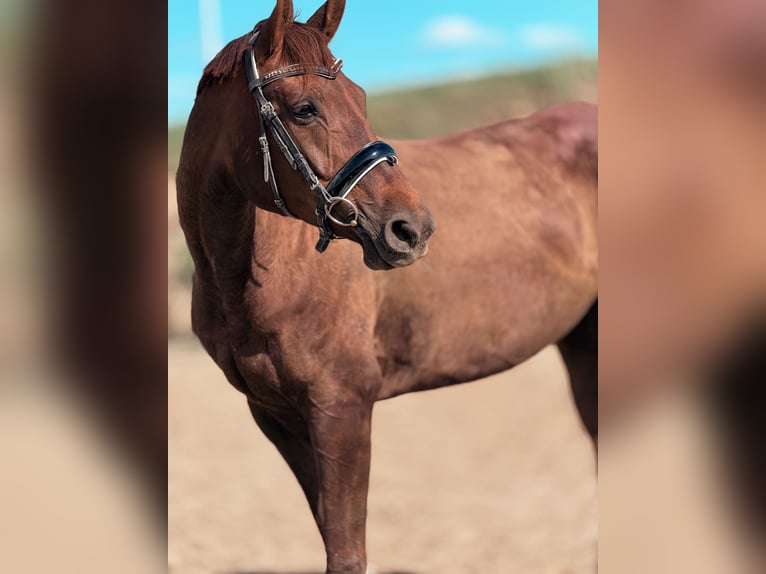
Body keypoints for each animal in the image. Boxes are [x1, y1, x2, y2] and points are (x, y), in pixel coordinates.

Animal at [176, 1, 597, 572]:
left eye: (360, 98)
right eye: (304, 109)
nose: (412, 229)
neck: (258, 272)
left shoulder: (343, 406)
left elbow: (347, 552)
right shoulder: (279, 415)